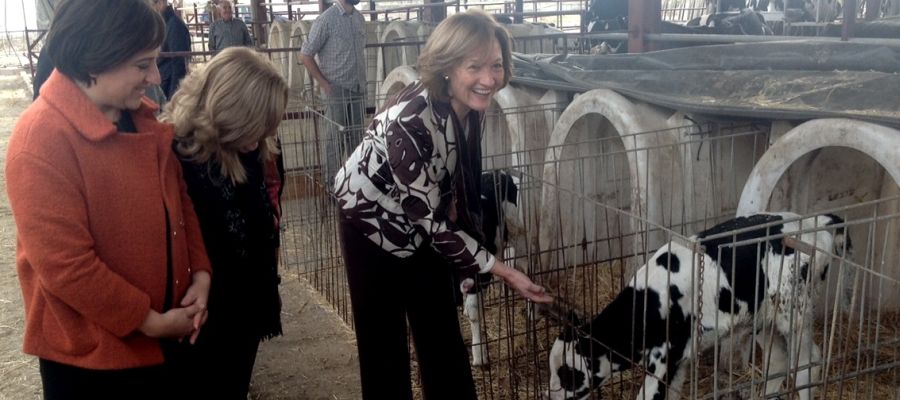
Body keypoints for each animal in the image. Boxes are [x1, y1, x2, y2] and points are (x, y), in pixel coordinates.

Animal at [548, 214, 852, 400]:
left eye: (568, 375)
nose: (549, 396)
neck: (649, 303)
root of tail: (815, 220)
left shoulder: (664, 360)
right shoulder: (678, 361)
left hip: (795, 311)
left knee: (807, 363)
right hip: (764, 316)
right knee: (777, 359)